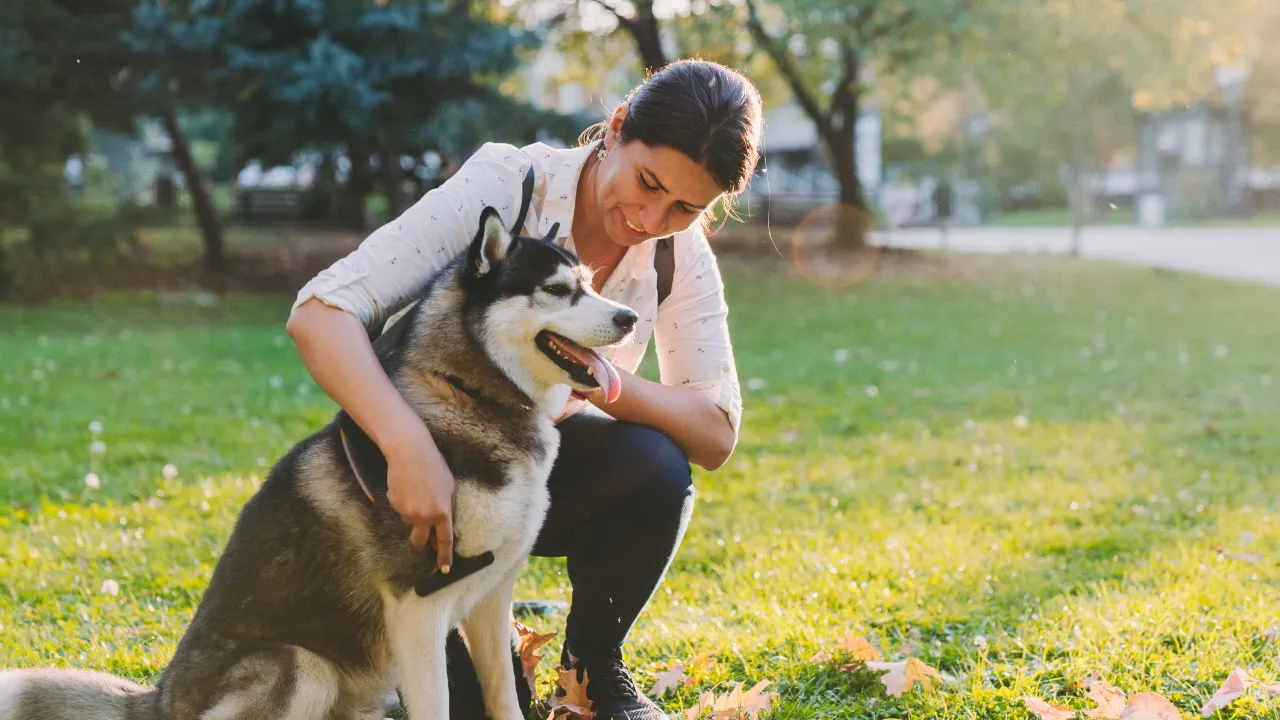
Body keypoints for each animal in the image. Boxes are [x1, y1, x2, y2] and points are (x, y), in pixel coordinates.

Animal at [0, 207, 640, 717]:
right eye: (557, 289)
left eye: (589, 283)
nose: (629, 318)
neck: (470, 394)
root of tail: (160, 700)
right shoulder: (418, 606)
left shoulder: (489, 597)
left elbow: (504, 697)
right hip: (303, 666)